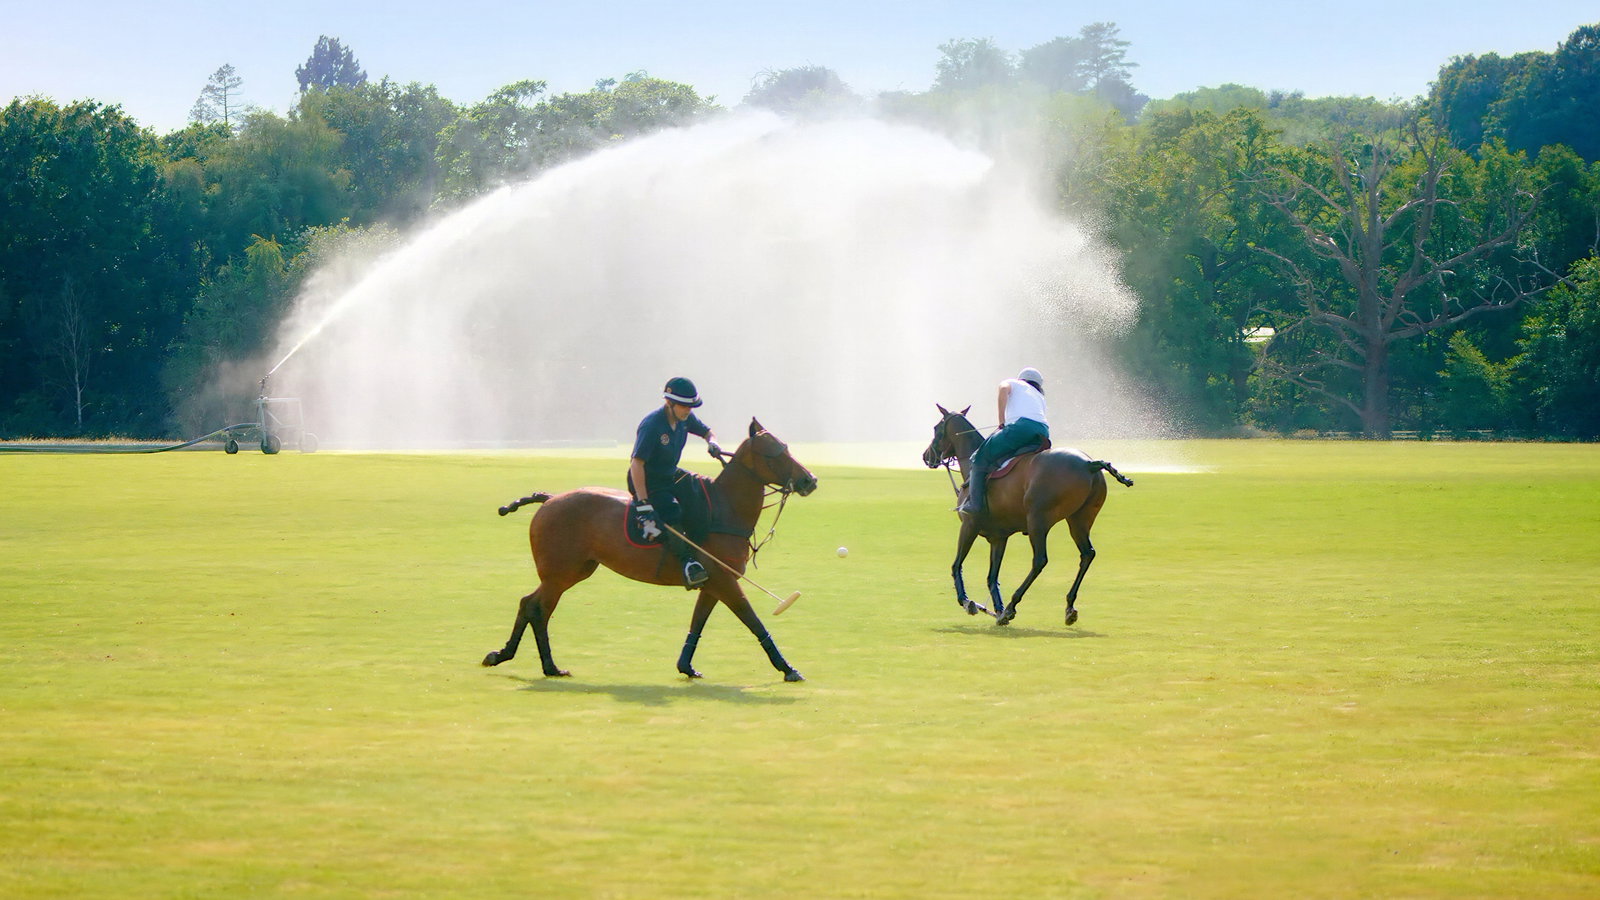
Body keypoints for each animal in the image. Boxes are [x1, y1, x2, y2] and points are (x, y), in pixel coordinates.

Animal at [484, 419, 818, 682]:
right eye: (774, 453)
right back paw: (543, 664)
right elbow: (753, 621)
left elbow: (698, 623)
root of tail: (550, 498)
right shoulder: (724, 580)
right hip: (559, 572)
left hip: (574, 570)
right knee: (537, 608)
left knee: (531, 604)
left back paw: (519, 659)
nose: (809, 480)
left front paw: (686, 666)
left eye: (786, 447)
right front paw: (788, 668)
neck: (726, 509)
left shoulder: (714, 583)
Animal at [921, 404, 1133, 626]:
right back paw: (1068, 606)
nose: (926, 456)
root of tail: (1089, 464)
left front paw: (967, 601)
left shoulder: (969, 525)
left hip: (1038, 519)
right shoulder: (998, 537)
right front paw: (997, 610)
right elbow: (992, 577)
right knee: (1087, 554)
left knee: (1039, 560)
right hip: (1079, 519)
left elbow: (957, 564)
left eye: (936, 428)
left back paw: (1012, 605)